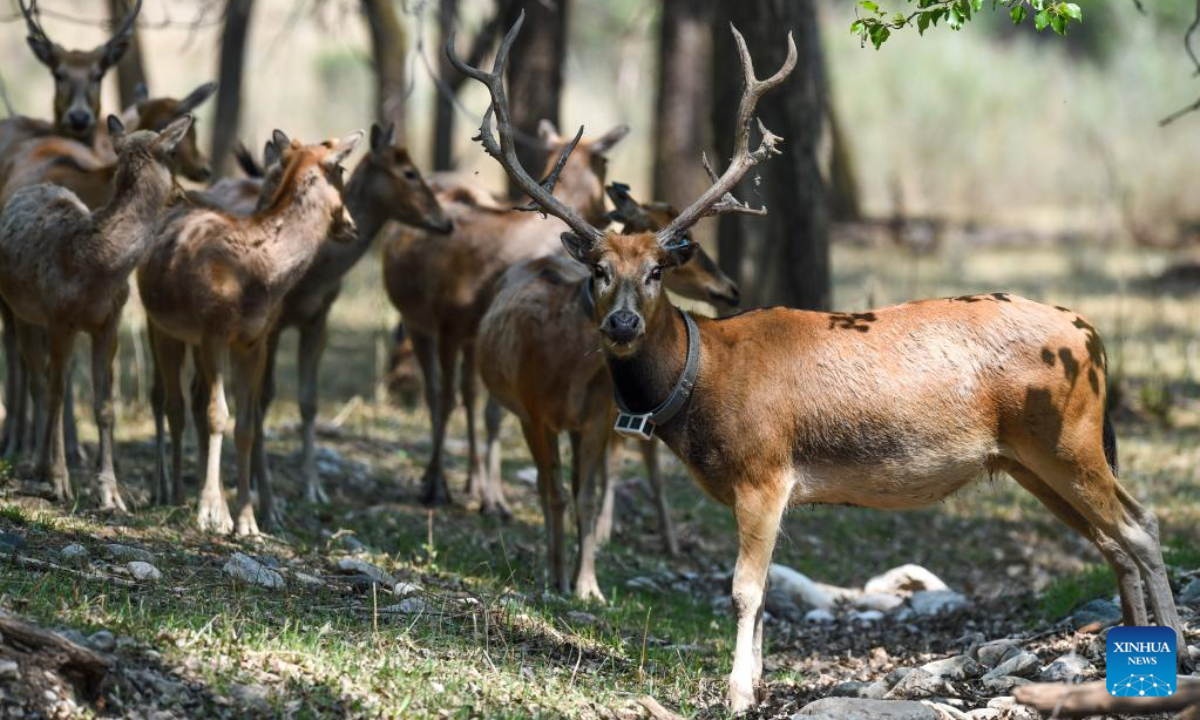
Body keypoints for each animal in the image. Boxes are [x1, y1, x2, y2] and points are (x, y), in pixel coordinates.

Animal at [0, 82, 215, 468]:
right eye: (173, 150)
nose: (183, 193)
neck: (97, 262)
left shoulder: (108, 321)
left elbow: (102, 400)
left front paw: (106, 480)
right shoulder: (58, 318)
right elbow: (56, 390)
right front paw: (56, 472)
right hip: (16, 306)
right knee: (26, 367)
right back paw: (24, 449)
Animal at [138, 131, 361, 536]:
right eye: (341, 169)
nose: (351, 225)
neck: (257, 275)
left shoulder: (254, 340)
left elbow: (245, 424)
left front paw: (246, 521)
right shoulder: (214, 331)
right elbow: (217, 415)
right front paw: (210, 512)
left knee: (190, 401)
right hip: (160, 324)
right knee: (172, 403)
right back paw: (172, 493)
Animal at [381, 120, 628, 517]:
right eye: (605, 161)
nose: (611, 210)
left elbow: (493, 414)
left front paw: (494, 499)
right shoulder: (449, 322)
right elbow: (447, 401)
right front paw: (437, 487)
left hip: (471, 337)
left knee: (470, 395)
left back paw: (474, 482)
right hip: (418, 322)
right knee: (437, 395)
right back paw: (437, 478)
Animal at [476, 182, 740, 600]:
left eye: (656, 270)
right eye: (600, 270)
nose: (623, 323)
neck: (569, 370)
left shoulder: (598, 416)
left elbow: (585, 494)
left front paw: (587, 584)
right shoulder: (535, 413)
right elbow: (555, 493)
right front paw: (557, 576)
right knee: (541, 481)